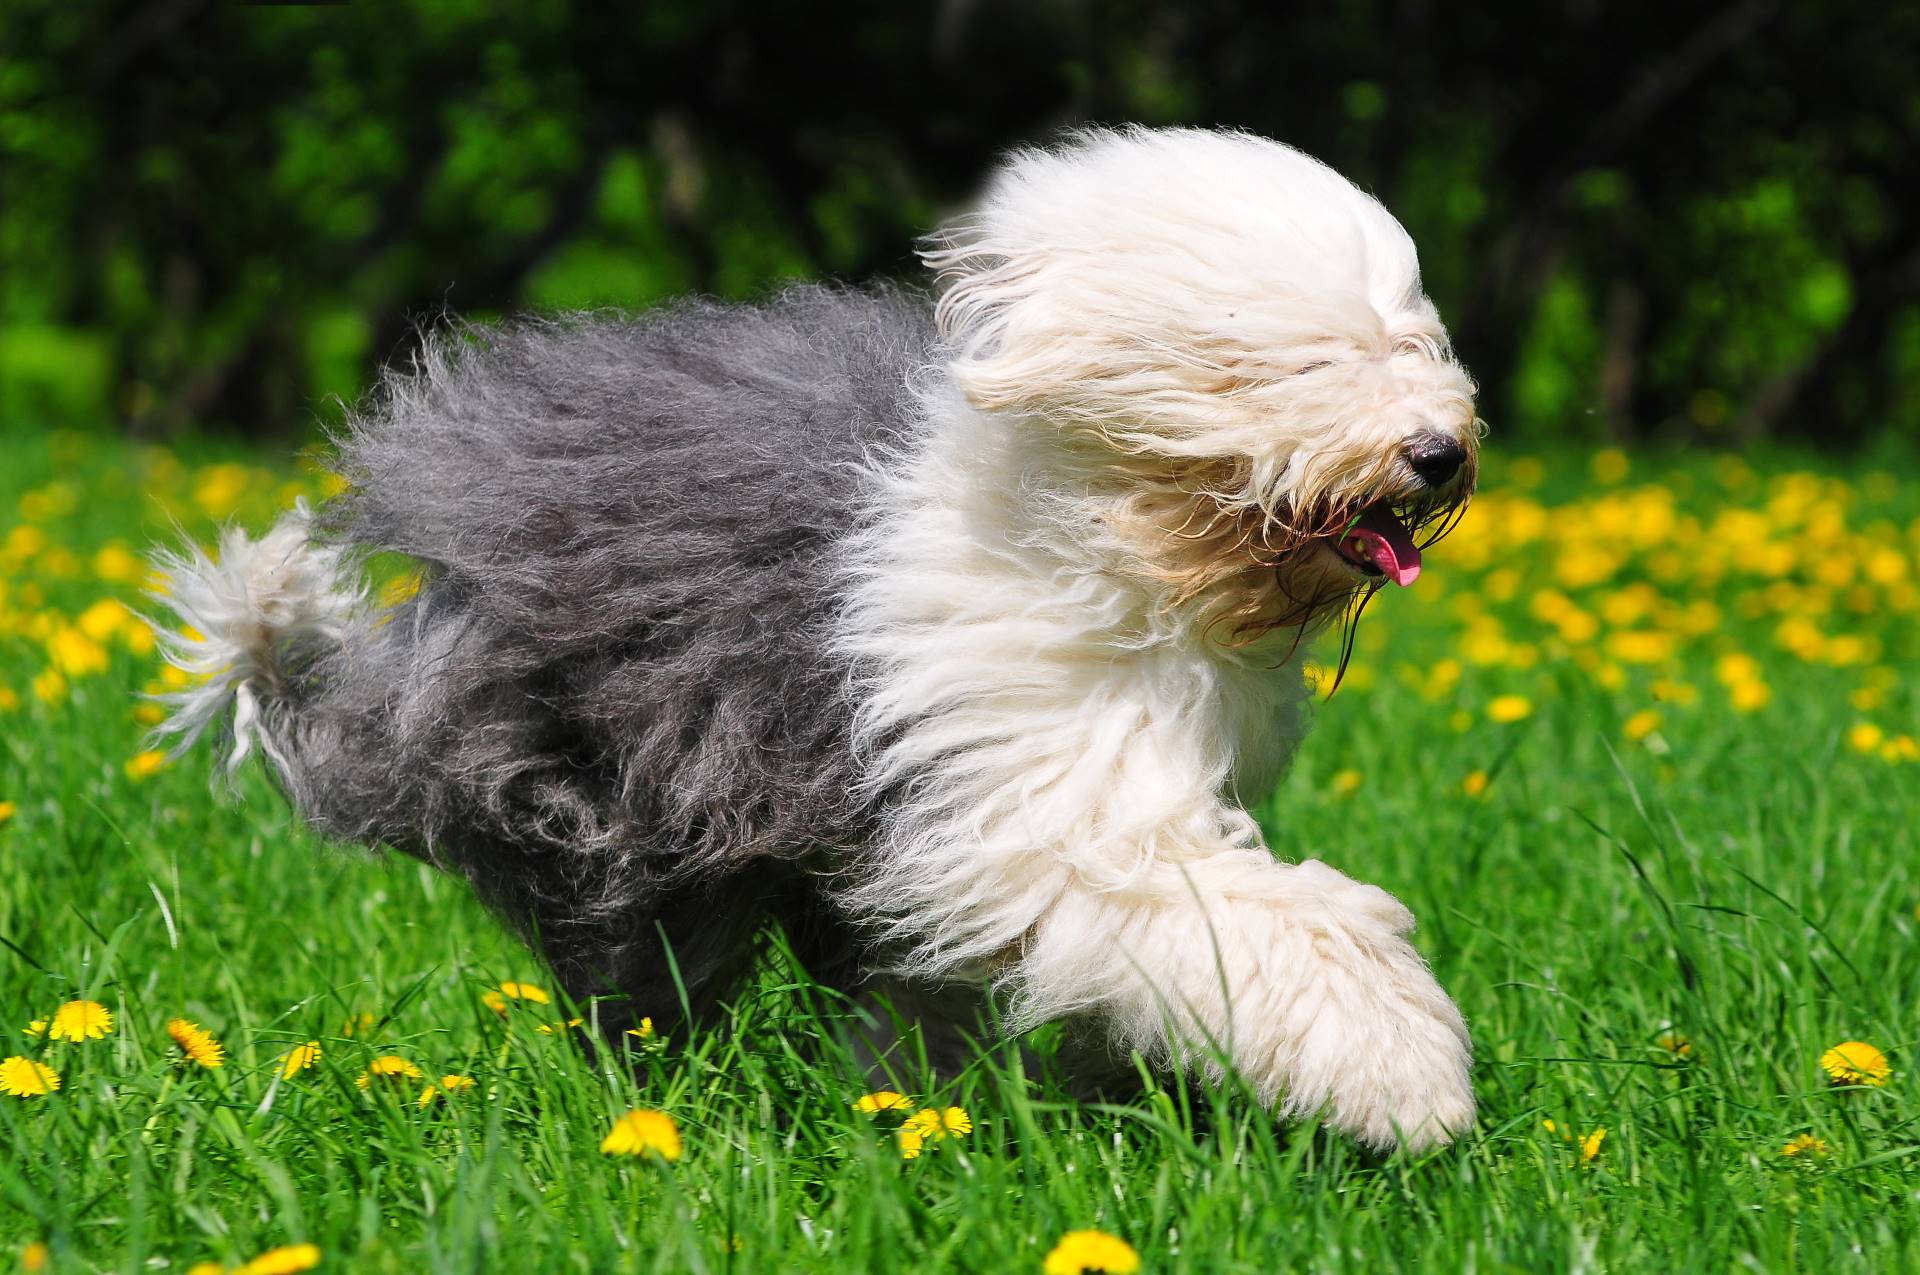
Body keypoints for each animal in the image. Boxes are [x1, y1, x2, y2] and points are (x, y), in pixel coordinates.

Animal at [149, 124, 1482, 1152]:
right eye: (1306, 359)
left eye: (1418, 341)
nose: (1441, 452)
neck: (1115, 538)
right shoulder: (1044, 805)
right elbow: (1247, 920)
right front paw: (1409, 1082)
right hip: (602, 809)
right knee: (637, 974)